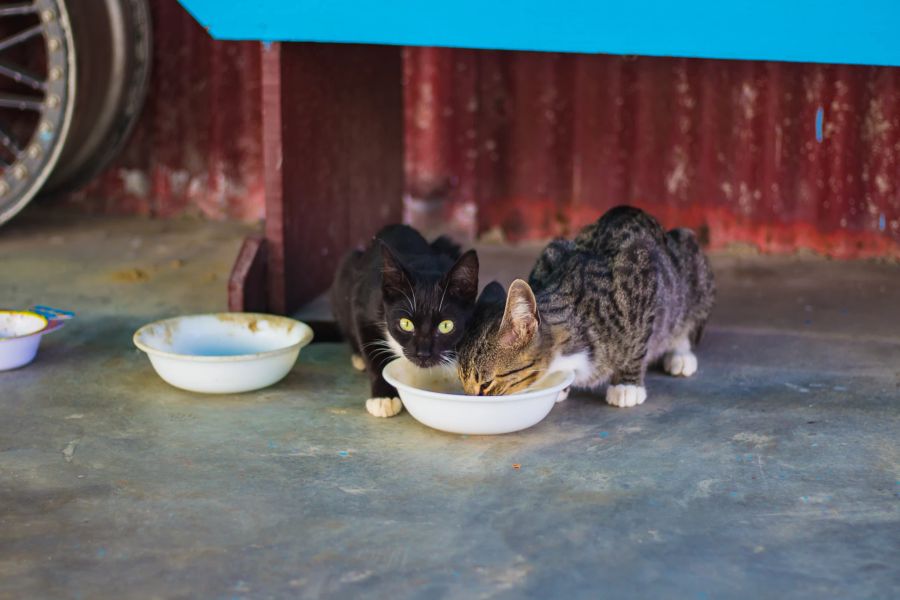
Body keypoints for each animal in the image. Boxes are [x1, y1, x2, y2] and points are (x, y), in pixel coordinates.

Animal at [460, 206, 712, 408]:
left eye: (486, 384)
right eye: (463, 382)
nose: (469, 400)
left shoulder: (641, 267)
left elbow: (638, 343)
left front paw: (627, 384)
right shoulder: (550, 253)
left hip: (691, 266)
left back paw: (680, 352)